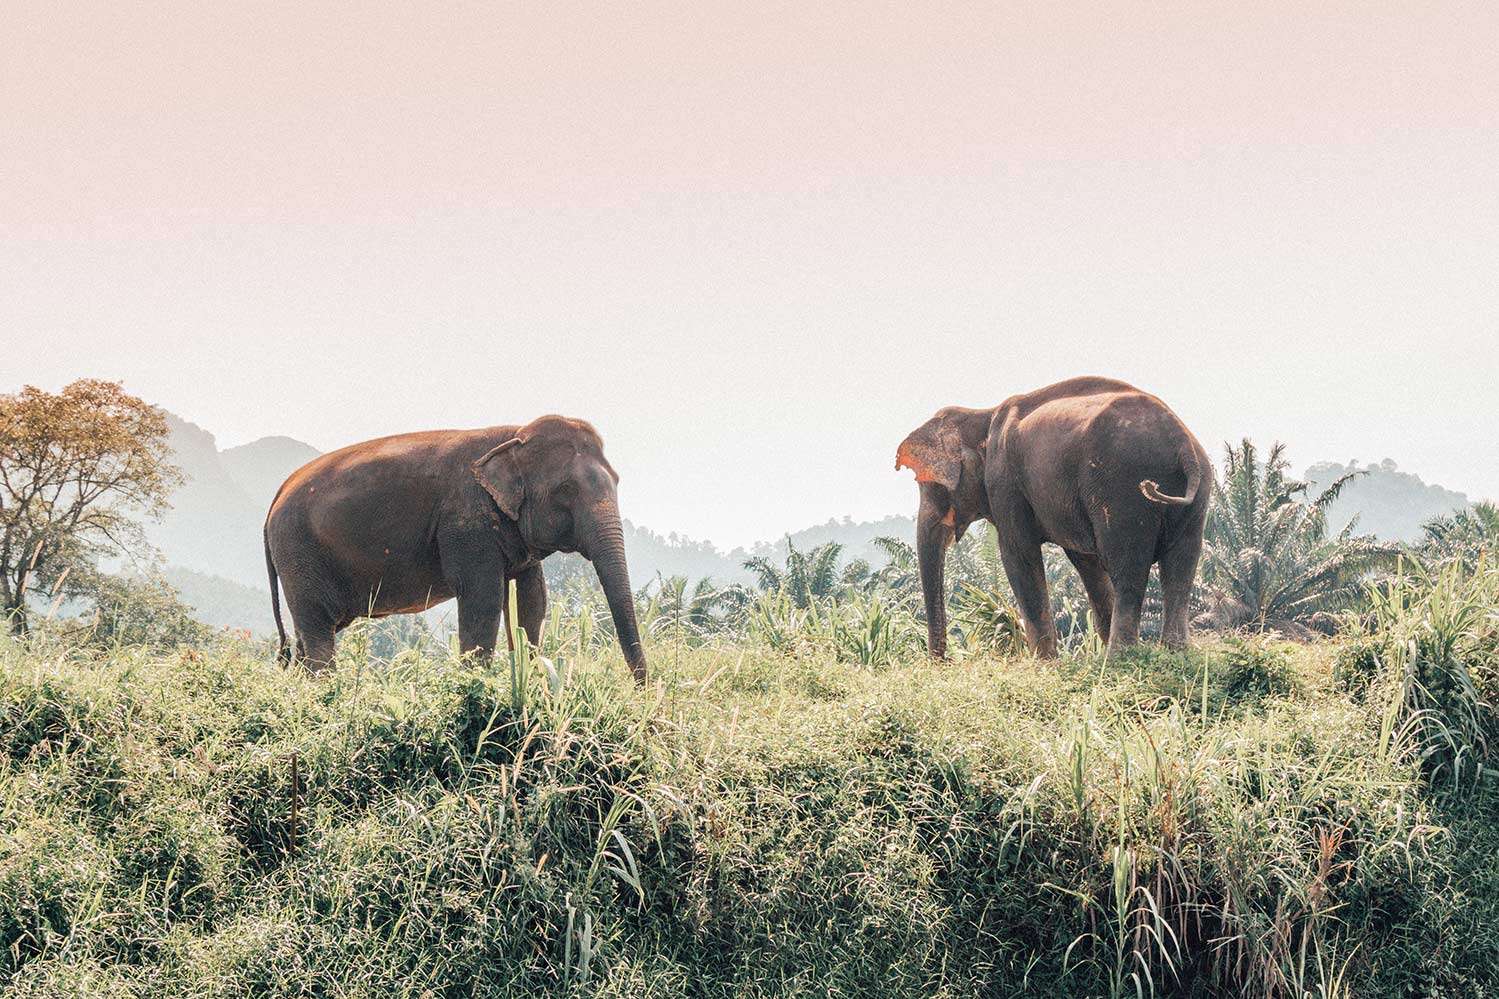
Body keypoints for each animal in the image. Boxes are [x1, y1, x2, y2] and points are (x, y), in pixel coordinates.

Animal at [263, 415, 646, 680]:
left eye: (617, 480)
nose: (642, 688)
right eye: (566, 489)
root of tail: (275, 499)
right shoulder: (465, 523)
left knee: (311, 634)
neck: (514, 434)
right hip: (299, 552)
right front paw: (476, 684)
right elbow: (483, 597)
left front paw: (531, 676)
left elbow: (532, 601)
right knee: (317, 630)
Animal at [895, 376, 1211, 658]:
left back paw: (1120, 657)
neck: (981, 414)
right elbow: (1086, 563)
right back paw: (1175, 653)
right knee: (1181, 566)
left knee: (1128, 567)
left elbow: (1018, 554)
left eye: (930, 486)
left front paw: (1043, 663)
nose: (943, 661)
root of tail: (1182, 441)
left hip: (1122, 489)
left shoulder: (1005, 482)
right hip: (1196, 496)